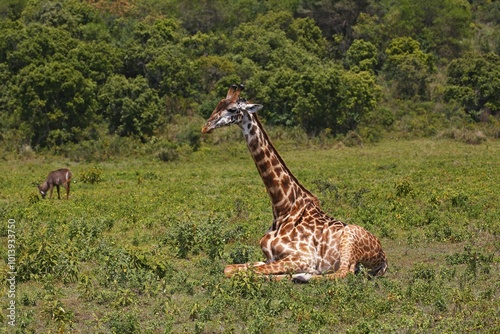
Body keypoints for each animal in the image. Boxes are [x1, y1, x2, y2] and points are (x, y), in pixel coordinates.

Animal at [201, 84, 388, 282]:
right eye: (218, 104)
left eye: (232, 109)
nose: (205, 127)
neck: (283, 208)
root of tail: (384, 258)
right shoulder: (270, 257)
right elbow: (230, 268)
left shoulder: (304, 257)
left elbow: (249, 272)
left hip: (349, 241)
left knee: (344, 272)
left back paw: (302, 276)